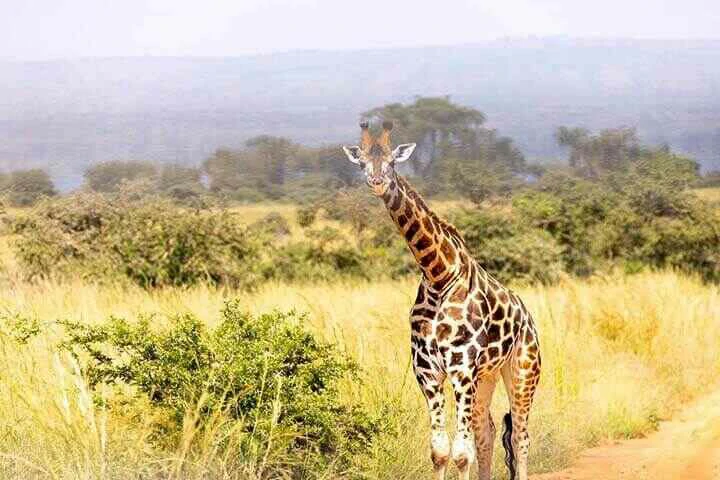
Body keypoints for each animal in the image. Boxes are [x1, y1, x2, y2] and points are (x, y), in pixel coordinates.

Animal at [344, 119, 540, 476]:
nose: (377, 182)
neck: (439, 275)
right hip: (486, 377)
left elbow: (461, 452)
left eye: (392, 162)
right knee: (487, 431)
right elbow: (439, 450)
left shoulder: (461, 369)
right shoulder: (427, 371)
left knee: (520, 436)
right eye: (362, 162)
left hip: (522, 370)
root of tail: (529, 319)